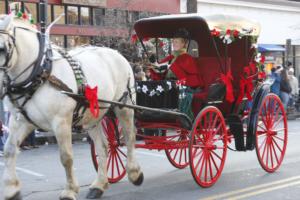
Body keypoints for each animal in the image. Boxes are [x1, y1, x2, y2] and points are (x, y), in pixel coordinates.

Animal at [0, 14, 143, 200]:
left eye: (2, 48)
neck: (39, 73)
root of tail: (116, 53)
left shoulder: (61, 121)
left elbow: (66, 157)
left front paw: (69, 190)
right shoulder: (20, 121)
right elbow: (9, 150)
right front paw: (11, 189)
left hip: (124, 106)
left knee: (130, 137)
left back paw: (134, 173)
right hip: (92, 117)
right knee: (103, 147)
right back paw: (99, 185)